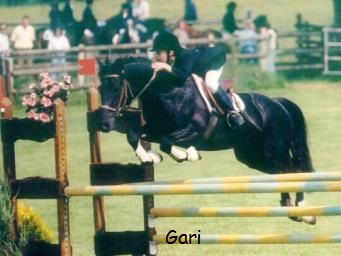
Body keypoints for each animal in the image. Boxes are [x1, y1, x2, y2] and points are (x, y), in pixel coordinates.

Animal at [97, 57, 314, 225]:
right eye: (99, 88)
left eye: (116, 86)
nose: (104, 124)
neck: (169, 93)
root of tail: (278, 103)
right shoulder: (156, 129)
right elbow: (134, 135)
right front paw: (150, 156)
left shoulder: (194, 131)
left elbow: (167, 142)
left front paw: (185, 154)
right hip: (253, 157)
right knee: (289, 170)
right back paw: (301, 211)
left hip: (273, 153)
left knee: (291, 171)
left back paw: (298, 210)